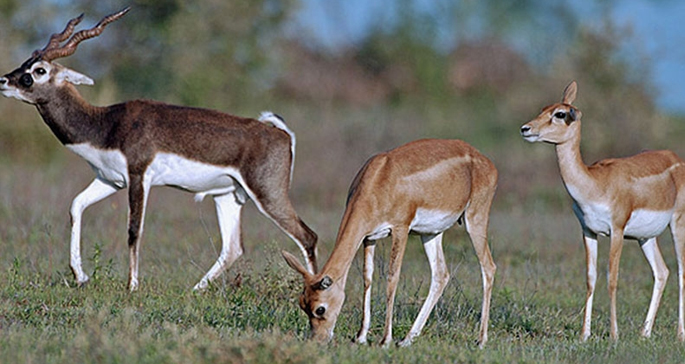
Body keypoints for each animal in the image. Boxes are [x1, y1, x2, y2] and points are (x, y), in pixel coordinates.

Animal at [0, 7, 320, 290]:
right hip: (228, 196)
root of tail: (280, 133)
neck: (106, 124)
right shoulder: (109, 180)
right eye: (26, 63)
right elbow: (76, 206)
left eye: (39, 70)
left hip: (268, 195)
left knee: (308, 237)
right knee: (233, 248)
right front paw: (81, 276)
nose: (3, 80)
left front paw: (132, 286)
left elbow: (133, 230)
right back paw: (195, 290)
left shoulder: (138, 177)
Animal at [280, 139, 494, 346]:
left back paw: (481, 340)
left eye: (320, 309)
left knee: (488, 267)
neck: (379, 179)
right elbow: (368, 277)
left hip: (475, 220)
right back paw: (407, 339)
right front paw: (361, 337)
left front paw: (385, 340)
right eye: (302, 303)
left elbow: (392, 278)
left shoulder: (401, 229)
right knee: (441, 274)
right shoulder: (369, 237)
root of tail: (484, 160)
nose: (318, 340)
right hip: (431, 233)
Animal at [520, 82, 684, 342]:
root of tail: (675, 158)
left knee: (680, 271)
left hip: (677, 224)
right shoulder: (588, 231)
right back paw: (644, 333)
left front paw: (614, 334)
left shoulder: (616, 230)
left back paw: (680, 334)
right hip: (646, 237)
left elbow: (612, 279)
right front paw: (584, 334)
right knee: (662, 271)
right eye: (543, 108)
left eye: (560, 114)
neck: (595, 183)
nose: (526, 128)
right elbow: (591, 278)